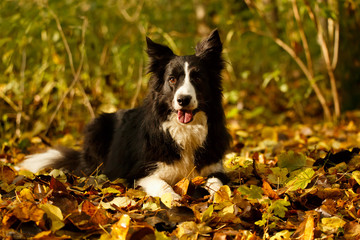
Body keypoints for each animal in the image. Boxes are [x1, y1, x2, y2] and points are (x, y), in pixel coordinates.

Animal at [20, 29, 231, 199]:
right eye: (172, 79)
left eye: (197, 78)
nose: (183, 99)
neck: (184, 130)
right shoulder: (138, 173)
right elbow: (162, 185)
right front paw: (173, 199)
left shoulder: (215, 167)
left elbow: (218, 183)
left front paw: (220, 198)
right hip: (98, 127)